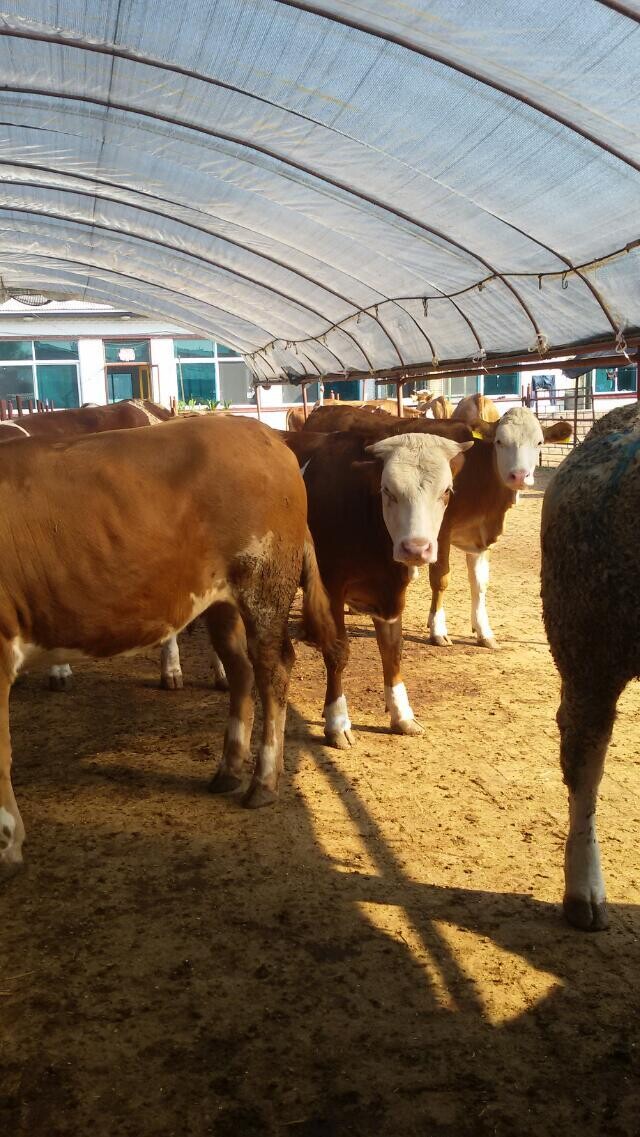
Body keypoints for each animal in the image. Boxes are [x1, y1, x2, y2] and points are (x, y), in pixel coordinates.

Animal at [0, 416, 336, 868]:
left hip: (263, 584)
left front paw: (7, 844)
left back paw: (263, 781)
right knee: (240, 669)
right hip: (222, 601)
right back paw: (229, 768)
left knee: (272, 669)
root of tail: (264, 434)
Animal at [286, 425, 475, 745]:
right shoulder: (331, 587)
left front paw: (402, 715)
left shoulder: (390, 593)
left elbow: (392, 650)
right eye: (387, 491)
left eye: (446, 492)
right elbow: (337, 652)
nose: (416, 548)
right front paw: (337, 721)